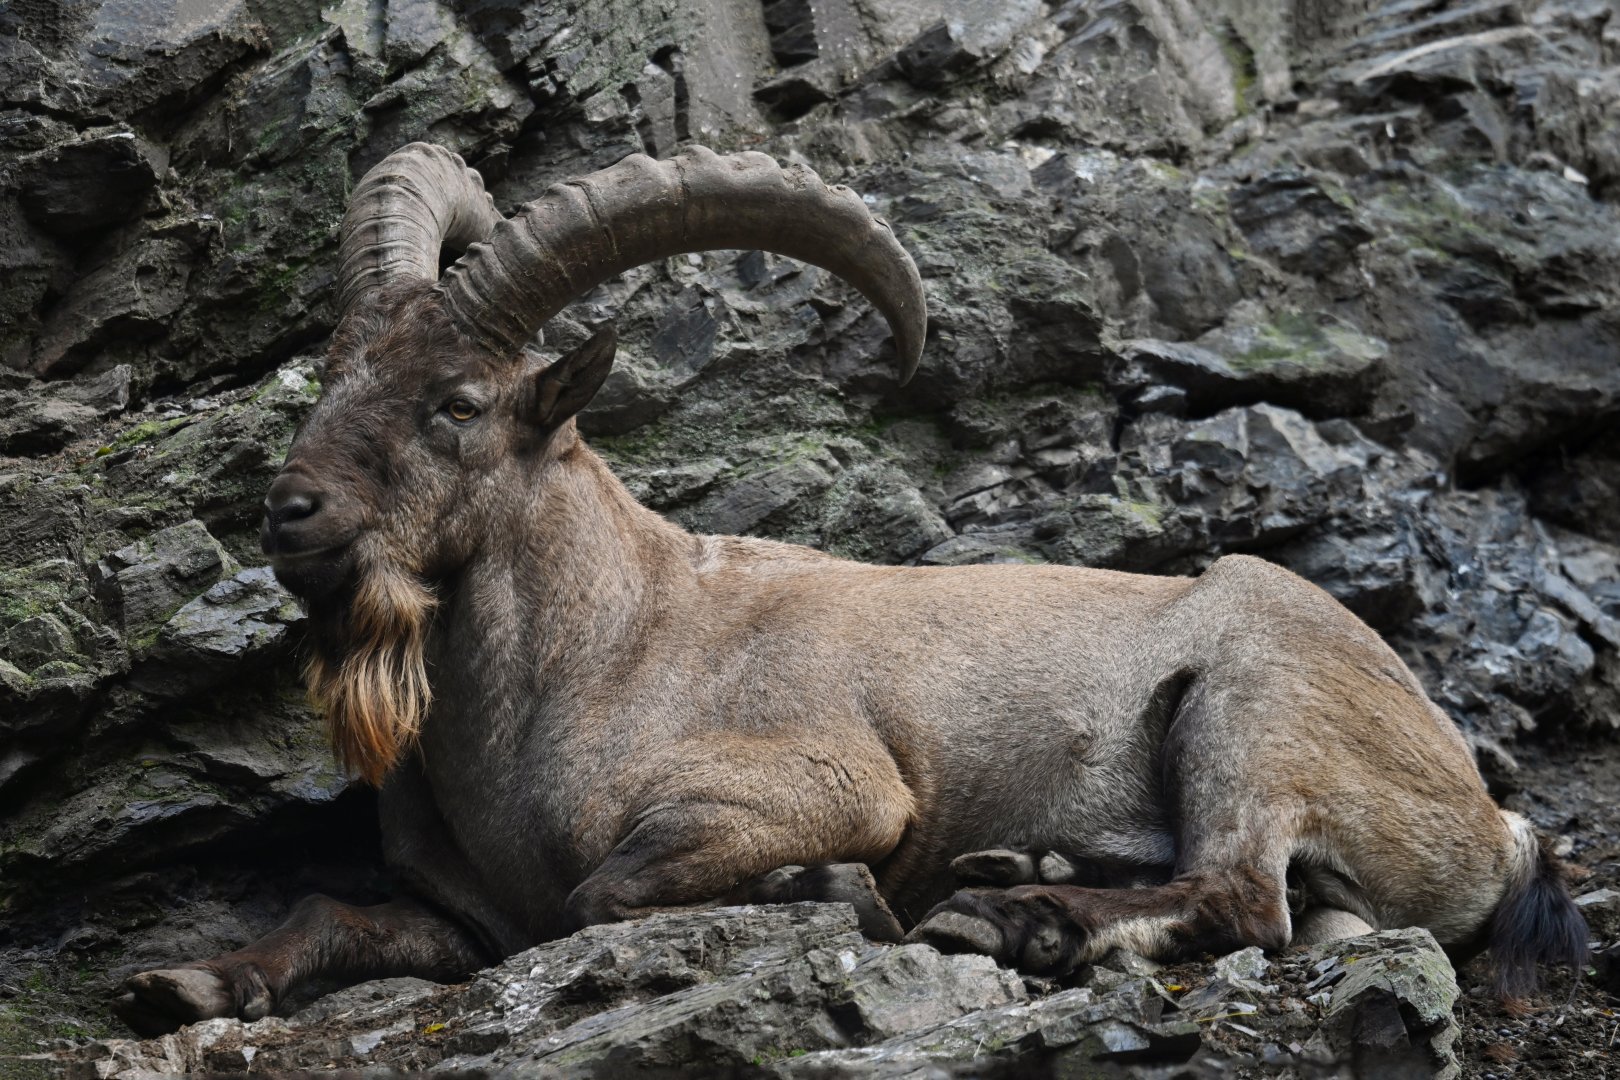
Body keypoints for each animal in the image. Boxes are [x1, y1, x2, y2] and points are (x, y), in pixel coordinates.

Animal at [116, 143, 1587, 1035]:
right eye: (333, 374)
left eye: (457, 403)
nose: (288, 513)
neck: (600, 650)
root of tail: (1492, 817)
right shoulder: (473, 919)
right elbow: (334, 911)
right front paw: (187, 977)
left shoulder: (828, 787)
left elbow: (610, 894)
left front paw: (836, 897)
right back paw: (1024, 871)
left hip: (1247, 703)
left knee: (1244, 897)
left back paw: (1012, 915)